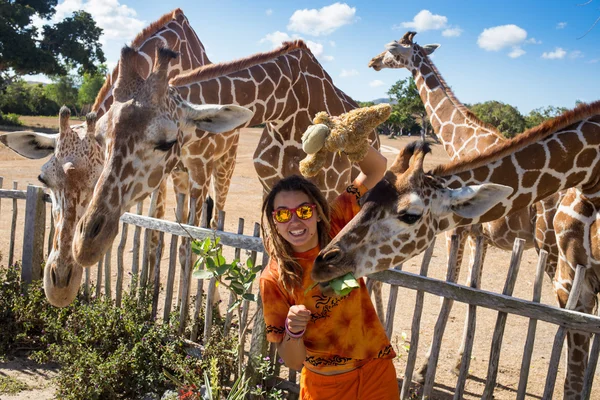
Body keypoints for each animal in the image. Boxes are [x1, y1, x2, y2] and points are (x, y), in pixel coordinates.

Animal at [366, 30, 564, 378]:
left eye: (391, 48)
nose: (373, 61)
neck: (461, 140)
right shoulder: (479, 236)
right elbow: (473, 292)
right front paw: (461, 361)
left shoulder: (456, 231)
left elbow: (448, 291)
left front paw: (425, 366)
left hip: (552, 247)